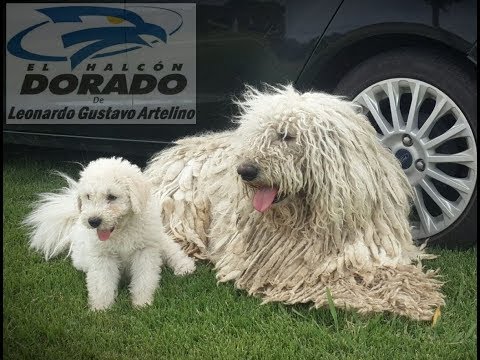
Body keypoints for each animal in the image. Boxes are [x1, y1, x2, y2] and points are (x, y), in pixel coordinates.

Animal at [23, 156, 196, 310]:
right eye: (88, 196)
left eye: (112, 197)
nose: (93, 221)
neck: (122, 231)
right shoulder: (102, 256)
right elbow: (102, 282)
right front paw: (101, 309)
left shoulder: (145, 250)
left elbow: (144, 277)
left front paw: (142, 303)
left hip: (159, 238)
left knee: (173, 251)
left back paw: (184, 267)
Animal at [146, 85, 446, 320]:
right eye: (257, 135)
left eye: (287, 135)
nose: (245, 170)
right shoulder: (289, 268)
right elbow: (337, 281)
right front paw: (390, 294)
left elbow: (387, 270)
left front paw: (411, 289)